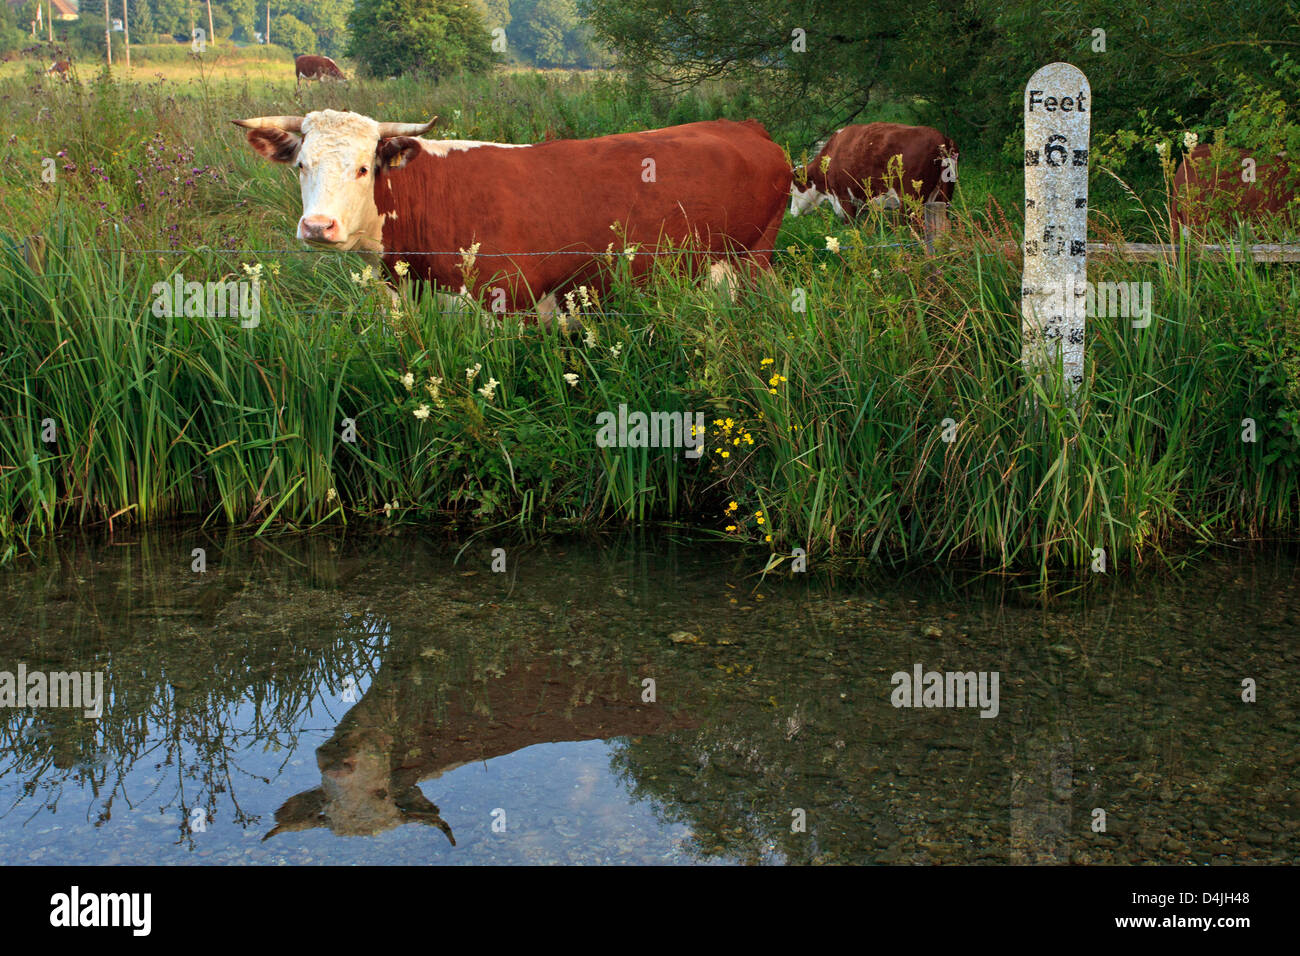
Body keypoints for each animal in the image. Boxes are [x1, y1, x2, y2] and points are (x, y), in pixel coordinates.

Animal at [233, 109, 790, 310]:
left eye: (364, 169)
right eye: (301, 164)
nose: (317, 226)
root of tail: (744, 125)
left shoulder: (507, 305)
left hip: (751, 262)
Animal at [785, 122, 961, 219]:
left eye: (792, 189)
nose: (792, 212)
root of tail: (941, 138)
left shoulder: (844, 199)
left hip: (911, 199)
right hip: (942, 197)